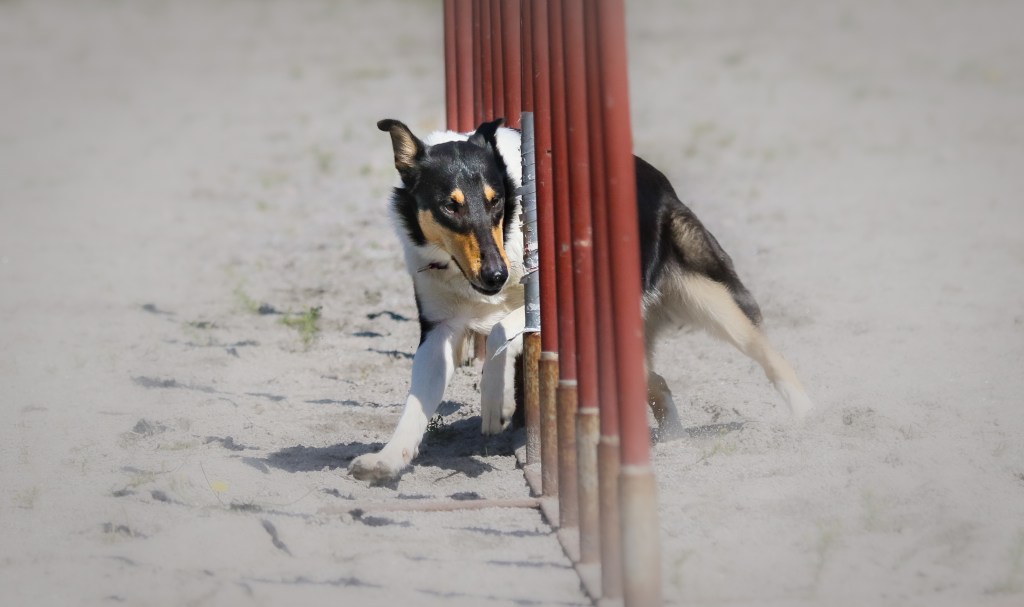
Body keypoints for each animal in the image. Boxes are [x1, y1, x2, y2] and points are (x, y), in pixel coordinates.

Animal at [348, 118, 813, 482]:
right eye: (450, 206)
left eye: (496, 201)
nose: (496, 275)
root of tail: (657, 178)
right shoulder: (438, 331)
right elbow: (416, 404)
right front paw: (385, 461)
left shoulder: (544, 300)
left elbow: (499, 331)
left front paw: (498, 402)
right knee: (656, 380)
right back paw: (670, 438)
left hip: (713, 299)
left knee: (768, 353)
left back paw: (808, 416)